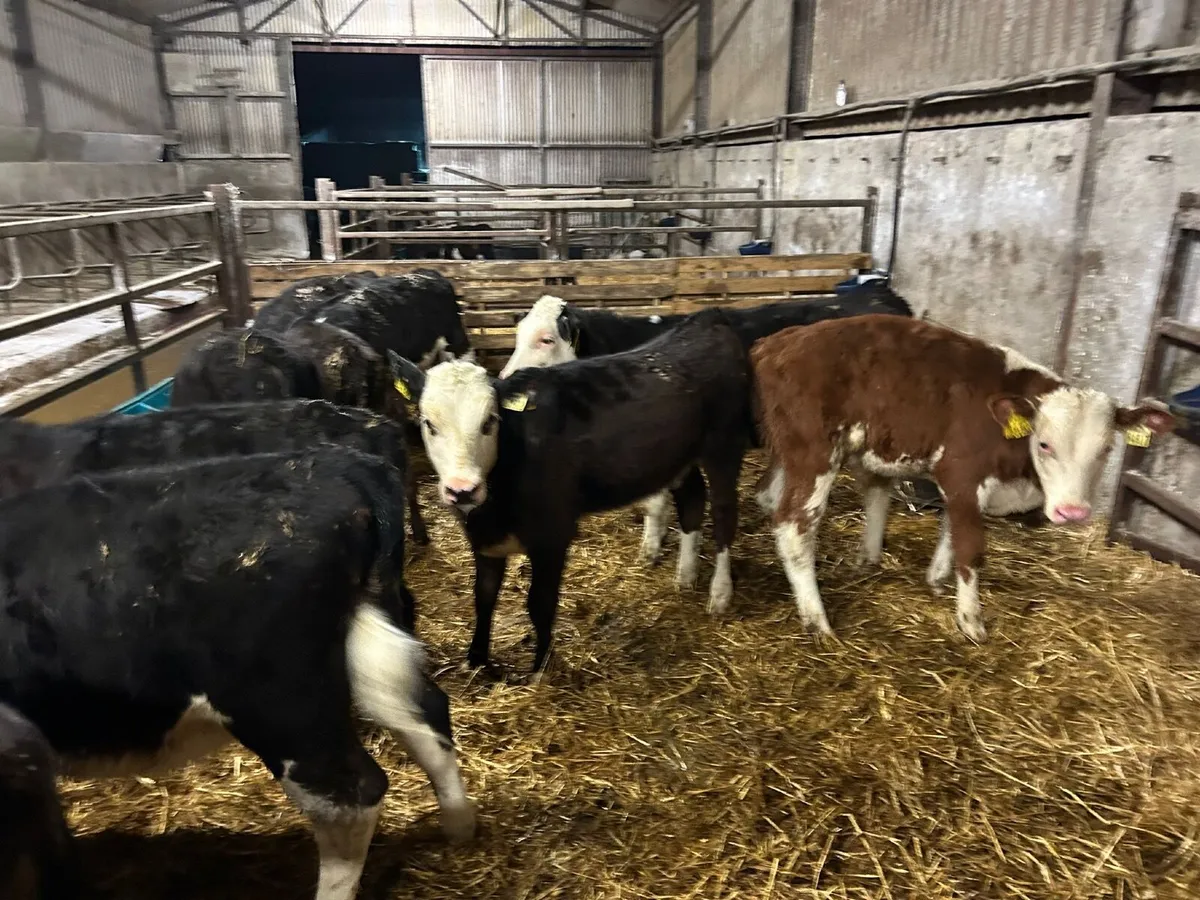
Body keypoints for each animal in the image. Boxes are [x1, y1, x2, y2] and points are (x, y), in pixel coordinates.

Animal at [388, 307, 752, 672]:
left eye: (490, 421)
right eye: (429, 424)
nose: (462, 490)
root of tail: (707, 320)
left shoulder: (553, 534)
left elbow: (539, 603)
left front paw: (540, 667)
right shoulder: (484, 539)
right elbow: (484, 596)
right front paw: (477, 660)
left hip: (725, 446)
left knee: (724, 513)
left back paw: (720, 593)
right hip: (681, 457)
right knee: (692, 500)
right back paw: (686, 576)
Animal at [497, 288, 915, 580]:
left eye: (547, 338)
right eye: (516, 335)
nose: (505, 379)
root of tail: (880, 295)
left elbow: (655, 504)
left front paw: (651, 550)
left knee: (877, 488)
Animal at [751, 314, 1176, 642]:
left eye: (1107, 450)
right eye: (1044, 444)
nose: (1073, 512)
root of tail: (780, 341)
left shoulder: (965, 489)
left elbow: (950, 533)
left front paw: (937, 581)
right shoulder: (961, 472)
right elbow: (970, 549)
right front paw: (971, 621)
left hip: (793, 452)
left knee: (768, 496)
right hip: (815, 453)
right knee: (793, 524)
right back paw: (817, 621)